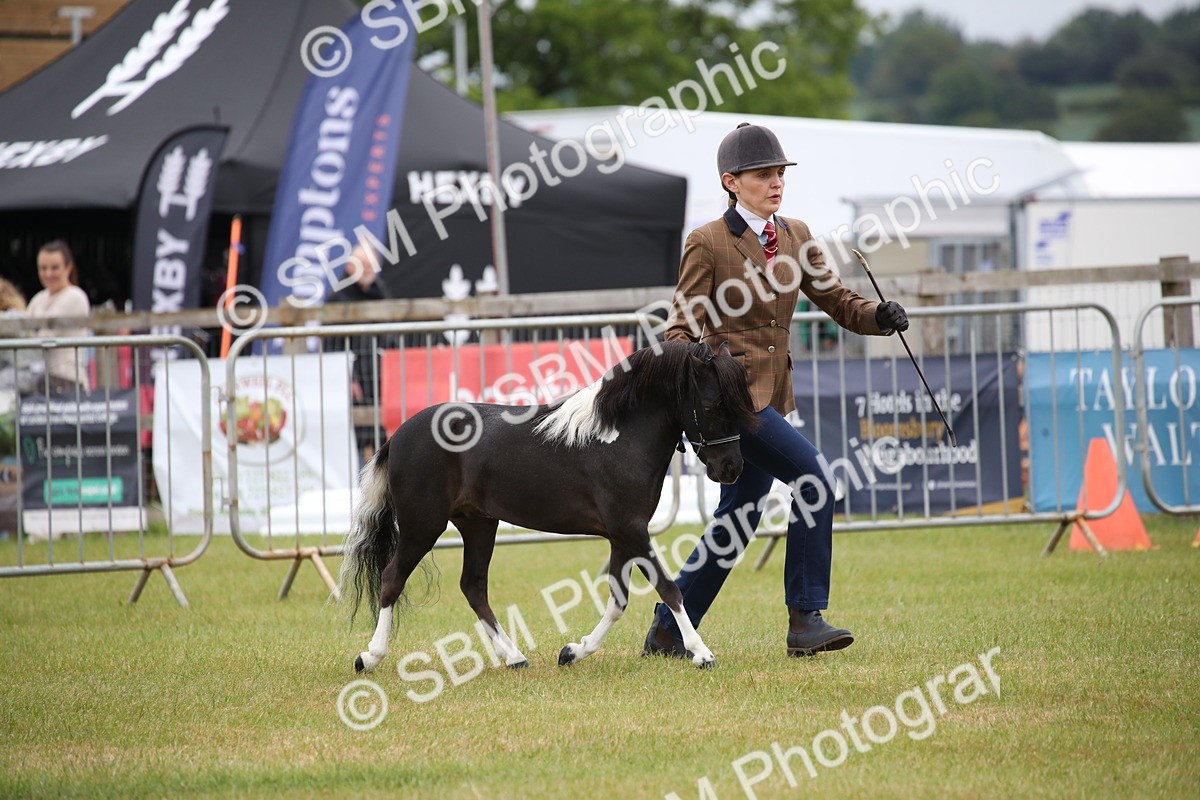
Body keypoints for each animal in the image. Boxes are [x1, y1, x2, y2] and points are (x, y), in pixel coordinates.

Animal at [338, 340, 758, 671]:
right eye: (713, 405)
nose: (732, 468)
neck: (618, 436)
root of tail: (398, 434)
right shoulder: (630, 530)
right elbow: (669, 588)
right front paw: (702, 653)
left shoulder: (623, 535)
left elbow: (618, 598)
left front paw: (573, 651)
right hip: (422, 525)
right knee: (392, 579)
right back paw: (369, 657)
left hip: (478, 524)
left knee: (473, 586)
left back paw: (514, 657)